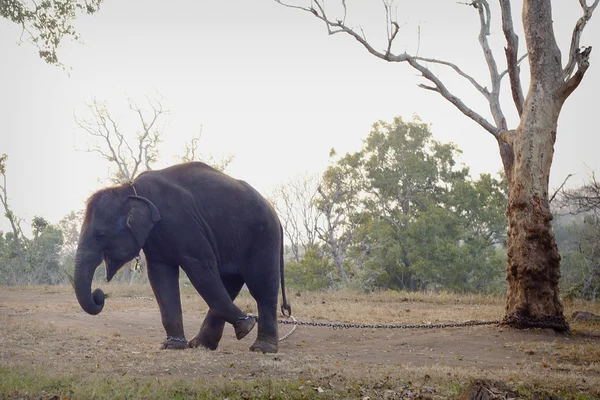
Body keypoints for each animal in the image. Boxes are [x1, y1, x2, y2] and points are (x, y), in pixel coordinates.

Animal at [75, 160, 290, 354]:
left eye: (100, 235)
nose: (99, 295)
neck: (130, 189)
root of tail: (275, 214)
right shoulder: (156, 238)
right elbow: (160, 277)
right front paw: (172, 346)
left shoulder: (183, 223)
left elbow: (200, 268)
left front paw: (247, 325)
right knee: (230, 282)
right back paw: (202, 344)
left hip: (263, 236)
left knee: (261, 287)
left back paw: (260, 347)